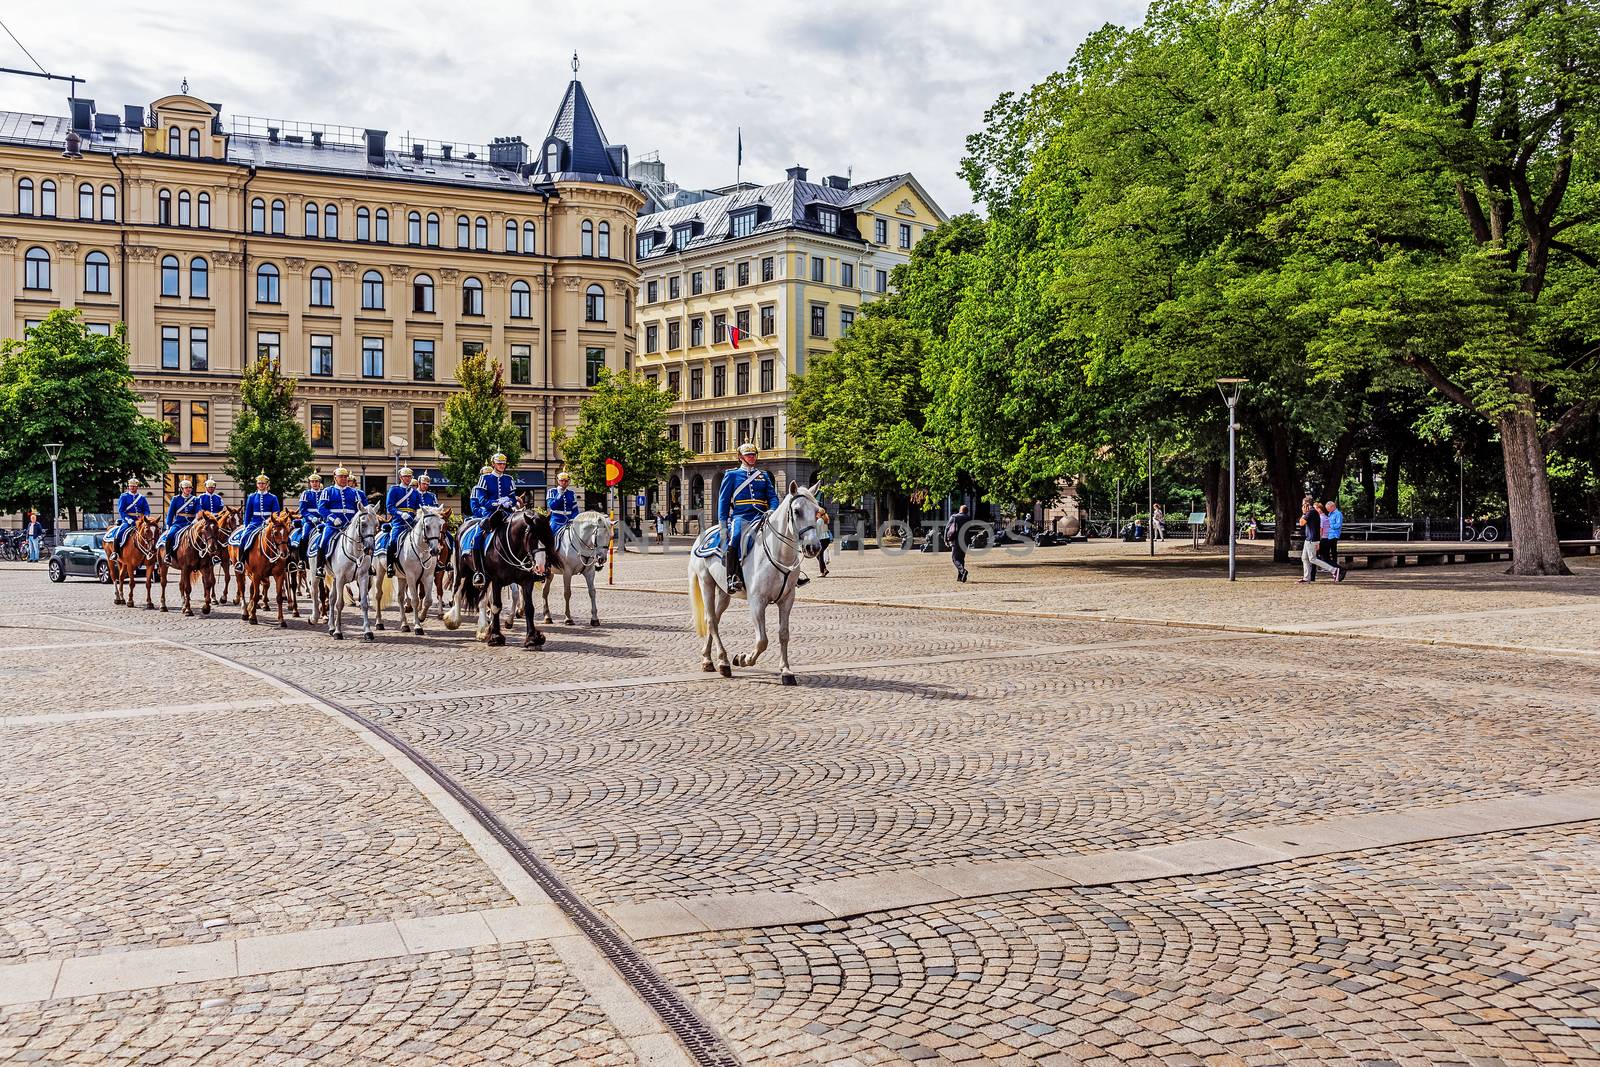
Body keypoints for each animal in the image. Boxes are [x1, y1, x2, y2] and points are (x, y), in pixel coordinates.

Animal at [318, 505, 380, 639]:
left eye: (376, 524)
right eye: (363, 524)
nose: (369, 549)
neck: (355, 552)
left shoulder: (363, 577)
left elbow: (364, 603)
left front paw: (368, 631)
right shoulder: (341, 579)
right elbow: (339, 604)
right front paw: (338, 632)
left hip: (334, 579)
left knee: (331, 598)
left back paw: (331, 627)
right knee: (330, 598)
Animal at [444, 511, 556, 652]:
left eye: (547, 536)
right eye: (532, 537)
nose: (540, 567)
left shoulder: (526, 581)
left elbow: (529, 608)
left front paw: (532, 639)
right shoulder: (496, 581)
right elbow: (496, 607)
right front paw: (496, 637)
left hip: (485, 580)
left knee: (482, 601)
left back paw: (483, 629)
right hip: (461, 572)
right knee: (458, 592)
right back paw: (454, 620)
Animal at [688, 483, 825, 684]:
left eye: (817, 512)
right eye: (797, 511)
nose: (813, 547)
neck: (778, 553)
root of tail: (703, 535)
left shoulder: (787, 600)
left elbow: (783, 634)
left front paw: (786, 671)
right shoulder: (757, 601)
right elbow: (762, 640)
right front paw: (742, 659)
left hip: (724, 592)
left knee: (713, 619)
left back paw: (708, 659)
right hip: (707, 584)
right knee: (712, 621)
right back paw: (723, 662)